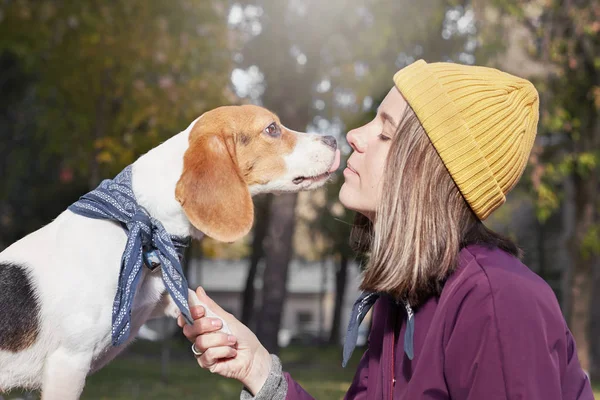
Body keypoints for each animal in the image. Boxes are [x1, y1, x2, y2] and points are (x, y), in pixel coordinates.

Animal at [0, 104, 340, 398]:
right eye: (272, 128)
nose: (334, 139)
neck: (141, 227)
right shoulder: (67, 363)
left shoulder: (159, 296)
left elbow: (192, 301)